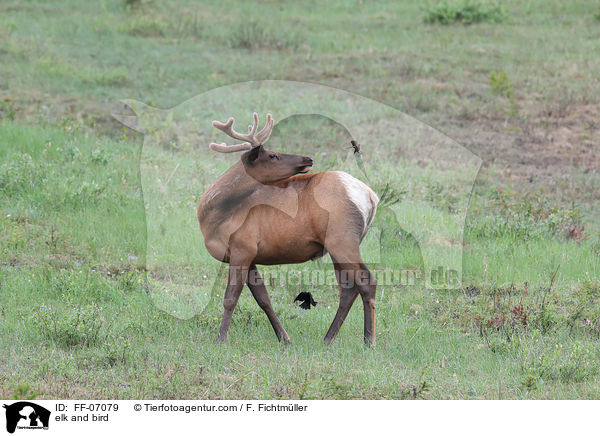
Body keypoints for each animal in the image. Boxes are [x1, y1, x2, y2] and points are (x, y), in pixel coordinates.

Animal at [202, 114, 380, 346]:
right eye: (273, 155)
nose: (308, 158)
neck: (212, 217)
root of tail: (371, 197)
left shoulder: (243, 248)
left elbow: (230, 298)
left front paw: (221, 339)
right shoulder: (249, 255)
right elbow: (263, 298)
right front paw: (284, 338)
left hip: (343, 240)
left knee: (367, 281)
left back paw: (369, 341)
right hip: (337, 246)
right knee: (348, 289)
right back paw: (328, 338)